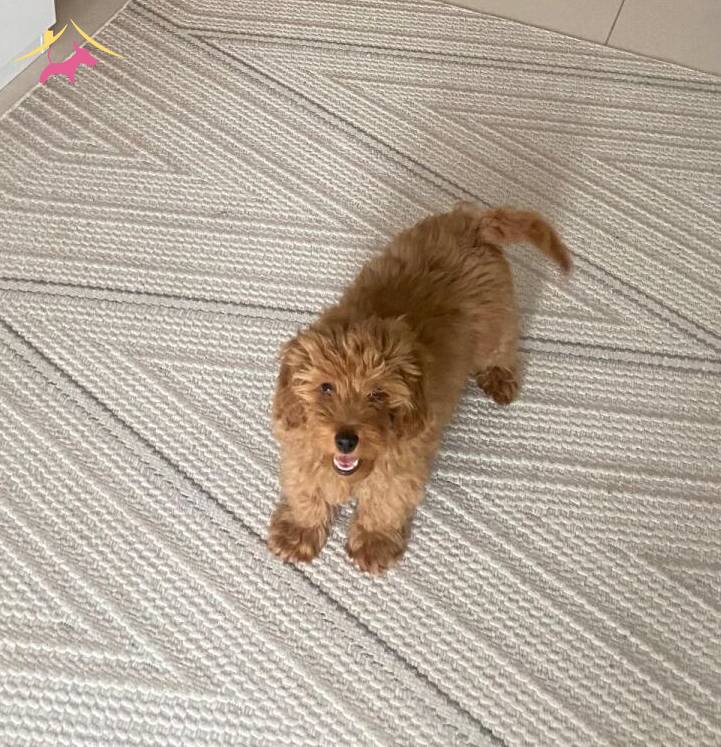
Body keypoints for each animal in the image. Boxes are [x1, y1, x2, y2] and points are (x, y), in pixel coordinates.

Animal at [268, 204, 570, 573]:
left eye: (378, 394)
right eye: (325, 387)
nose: (346, 439)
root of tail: (472, 221)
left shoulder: (401, 468)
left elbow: (384, 503)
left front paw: (374, 543)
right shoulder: (302, 452)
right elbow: (306, 493)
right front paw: (297, 533)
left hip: (493, 327)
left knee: (504, 345)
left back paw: (500, 376)